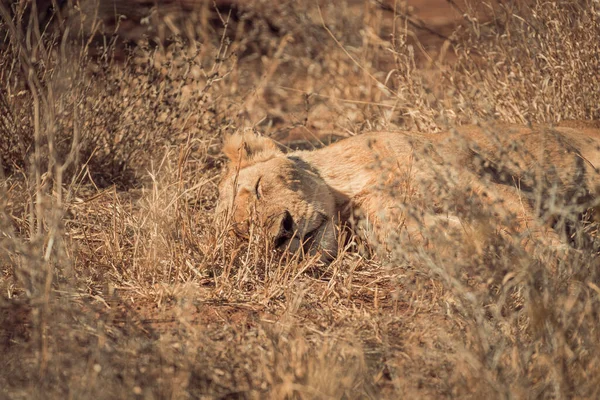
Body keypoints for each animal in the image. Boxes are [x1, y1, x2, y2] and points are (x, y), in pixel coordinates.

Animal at [218, 122, 600, 260]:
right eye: (245, 236)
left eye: (259, 187)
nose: (281, 235)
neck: (349, 191)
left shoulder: (466, 181)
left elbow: (526, 222)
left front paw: (571, 270)